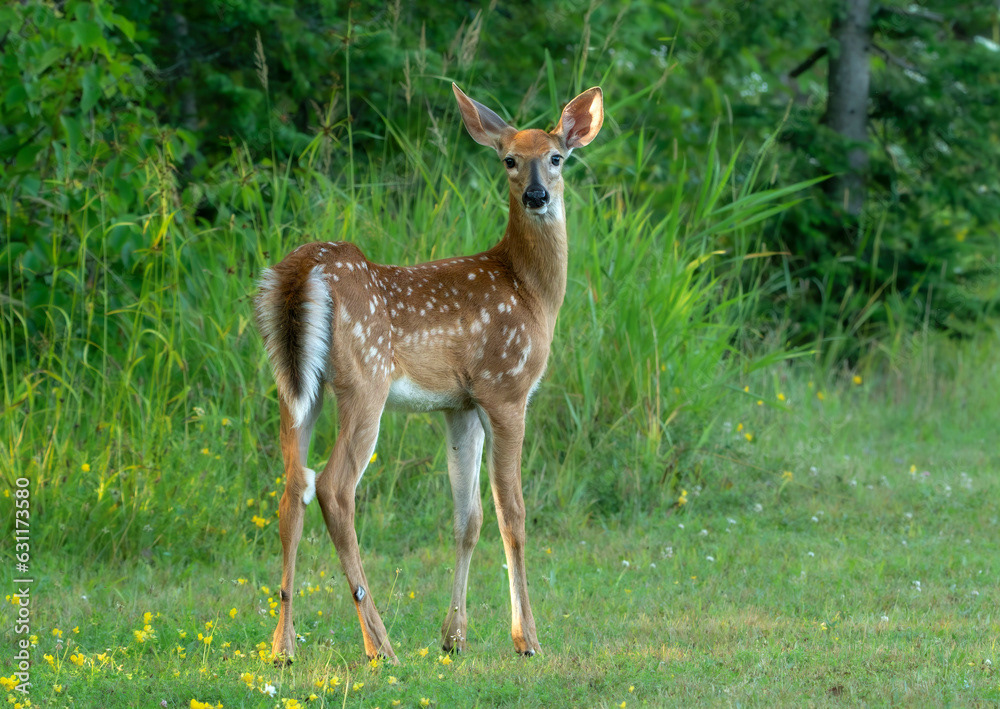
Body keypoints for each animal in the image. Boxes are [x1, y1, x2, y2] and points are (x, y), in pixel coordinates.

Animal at [254, 82, 603, 664]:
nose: (537, 196)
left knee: (290, 489)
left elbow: (468, 518)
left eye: (556, 158)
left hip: (294, 386)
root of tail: (303, 271)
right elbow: (512, 513)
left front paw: (454, 636)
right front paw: (526, 639)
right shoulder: (506, 389)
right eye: (510, 160)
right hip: (365, 379)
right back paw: (379, 645)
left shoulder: (459, 405)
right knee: (333, 488)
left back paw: (284, 647)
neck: (530, 291)